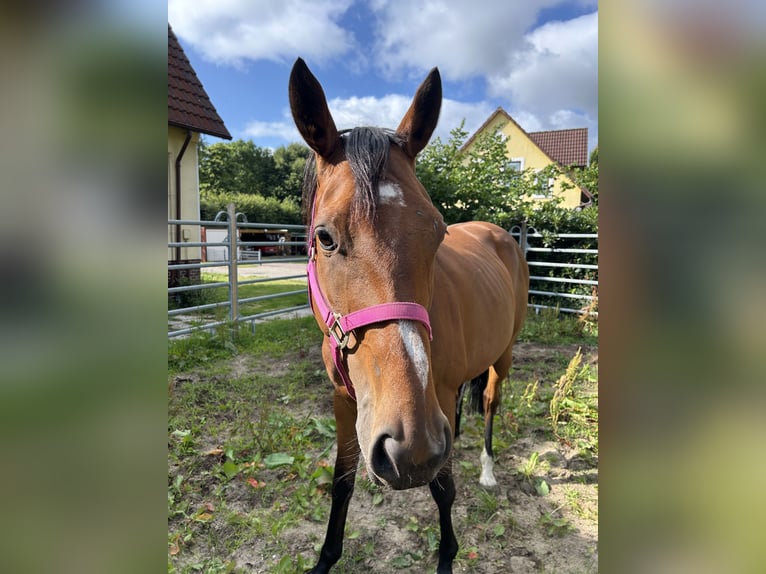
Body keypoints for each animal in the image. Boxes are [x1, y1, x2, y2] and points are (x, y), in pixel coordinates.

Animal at [288, 57, 529, 574]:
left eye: (437, 232)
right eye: (324, 237)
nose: (411, 448)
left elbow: (443, 488)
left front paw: (448, 555)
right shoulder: (345, 401)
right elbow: (342, 481)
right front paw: (325, 558)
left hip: (503, 356)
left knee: (491, 403)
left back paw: (487, 469)